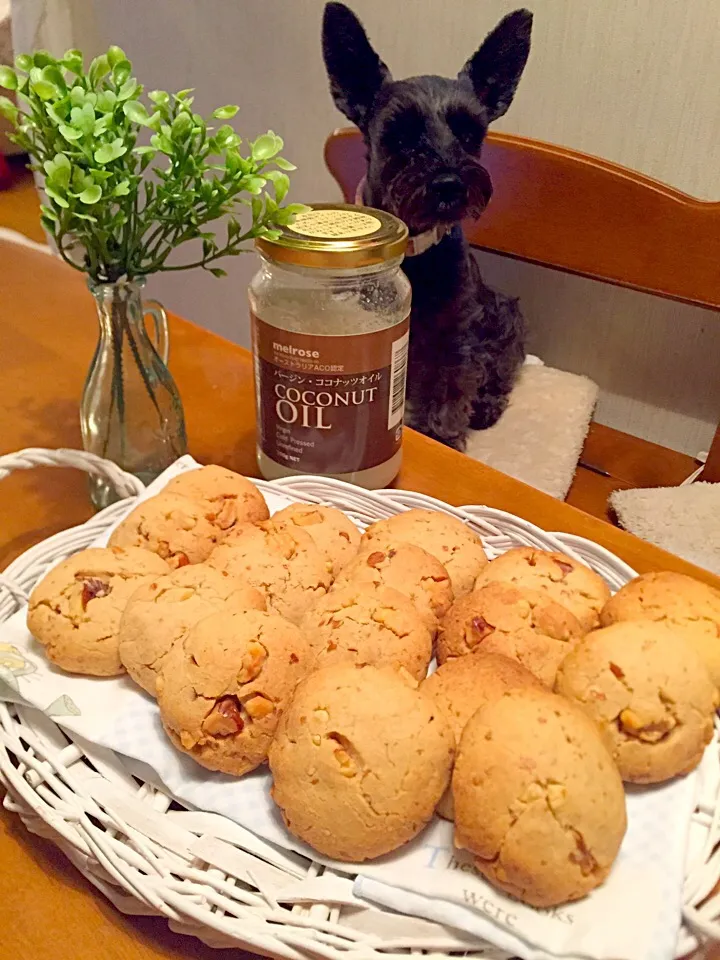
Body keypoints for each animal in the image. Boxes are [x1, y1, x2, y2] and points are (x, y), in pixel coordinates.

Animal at [324, 3, 532, 450]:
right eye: (400, 135)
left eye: (470, 134)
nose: (450, 184)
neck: (413, 251)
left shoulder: (453, 340)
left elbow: (448, 395)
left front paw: (442, 439)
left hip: (504, 317)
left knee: (500, 369)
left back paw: (486, 406)